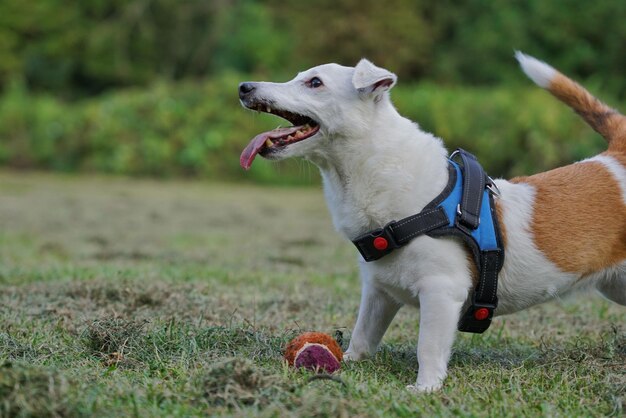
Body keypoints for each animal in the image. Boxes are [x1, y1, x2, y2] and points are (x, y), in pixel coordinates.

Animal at [236, 53, 620, 392]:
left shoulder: (441, 291)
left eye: (315, 82)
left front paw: (425, 388)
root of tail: (615, 158)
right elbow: (363, 335)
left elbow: (429, 347)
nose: (244, 87)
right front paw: (347, 361)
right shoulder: (378, 291)